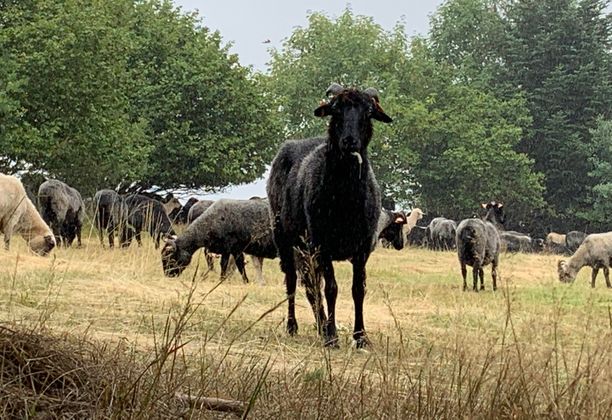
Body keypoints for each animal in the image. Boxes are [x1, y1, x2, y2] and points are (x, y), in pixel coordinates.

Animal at [266, 83, 392, 348]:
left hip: (306, 248)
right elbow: (331, 289)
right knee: (294, 281)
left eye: (368, 112)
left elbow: (358, 290)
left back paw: (320, 325)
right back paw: (295, 326)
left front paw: (360, 337)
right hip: (284, 238)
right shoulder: (322, 244)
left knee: (310, 284)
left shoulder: (362, 247)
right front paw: (332, 337)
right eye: (336, 109)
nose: (349, 141)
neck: (345, 199)